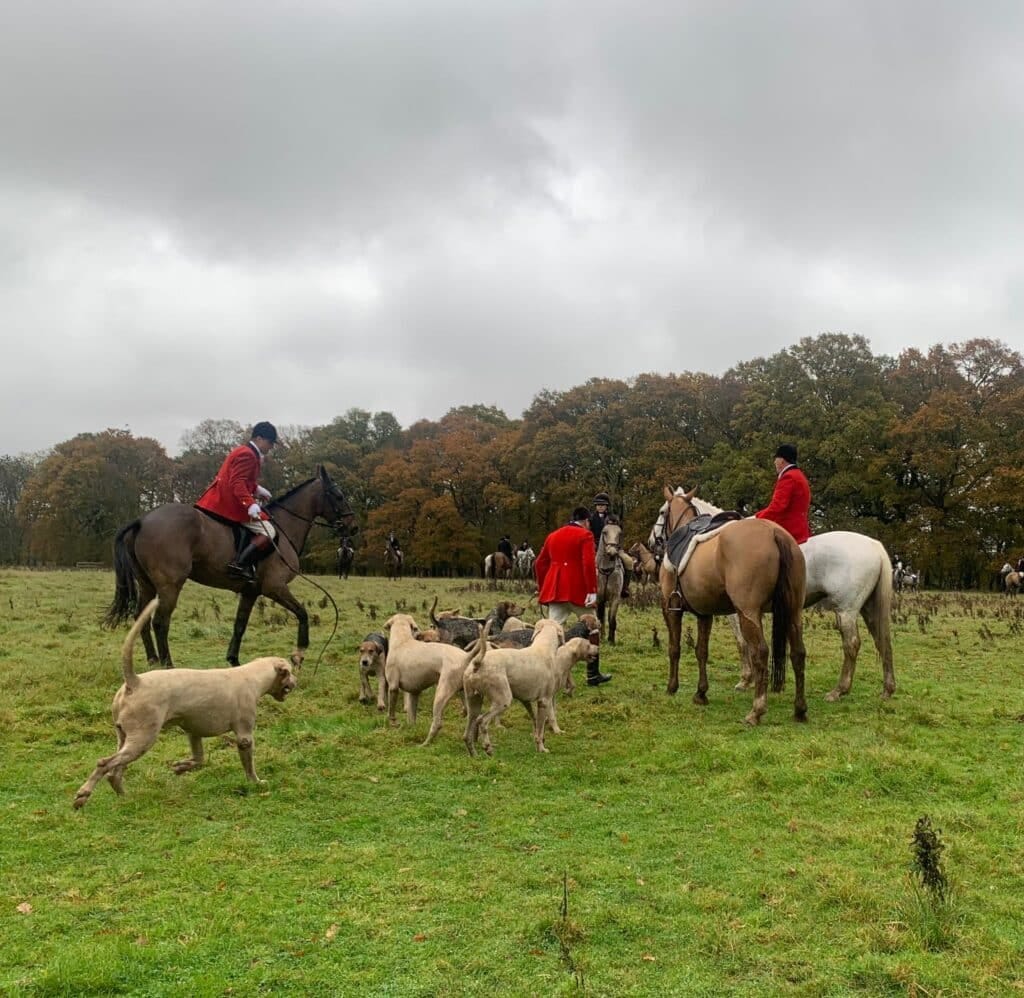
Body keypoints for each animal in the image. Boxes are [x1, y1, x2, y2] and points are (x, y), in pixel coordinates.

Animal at [106, 468, 358, 671]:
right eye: (339, 496)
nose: (353, 527)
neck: (284, 528)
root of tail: (142, 520)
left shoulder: (250, 592)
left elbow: (240, 625)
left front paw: (233, 660)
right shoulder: (275, 587)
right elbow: (303, 614)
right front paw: (298, 655)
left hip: (147, 583)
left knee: (141, 618)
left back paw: (152, 660)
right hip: (170, 584)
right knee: (159, 622)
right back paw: (168, 665)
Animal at [655, 485, 806, 724]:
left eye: (662, 512)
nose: (654, 541)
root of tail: (776, 533)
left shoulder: (671, 610)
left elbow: (674, 648)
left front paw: (672, 687)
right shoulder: (704, 614)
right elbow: (702, 651)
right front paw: (701, 693)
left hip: (748, 614)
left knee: (761, 652)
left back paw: (756, 710)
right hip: (793, 612)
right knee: (798, 653)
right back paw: (800, 709)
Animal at [655, 491, 897, 704]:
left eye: (661, 512)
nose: (653, 542)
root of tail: (874, 545)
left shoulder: (737, 612)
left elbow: (742, 642)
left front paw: (746, 680)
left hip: (845, 611)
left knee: (852, 645)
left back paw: (839, 690)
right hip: (867, 608)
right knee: (882, 640)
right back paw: (887, 689)